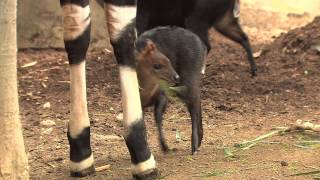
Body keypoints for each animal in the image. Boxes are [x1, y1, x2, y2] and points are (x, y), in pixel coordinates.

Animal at [134, 26, 205, 154]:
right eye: (157, 65)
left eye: (168, 60)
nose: (176, 77)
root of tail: (201, 44)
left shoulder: (162, 94)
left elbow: (158, 116)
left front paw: (165, 146)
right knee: (197, 99)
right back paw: (199, 139)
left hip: (190, 77)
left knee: (193, 103)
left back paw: (194, 146)